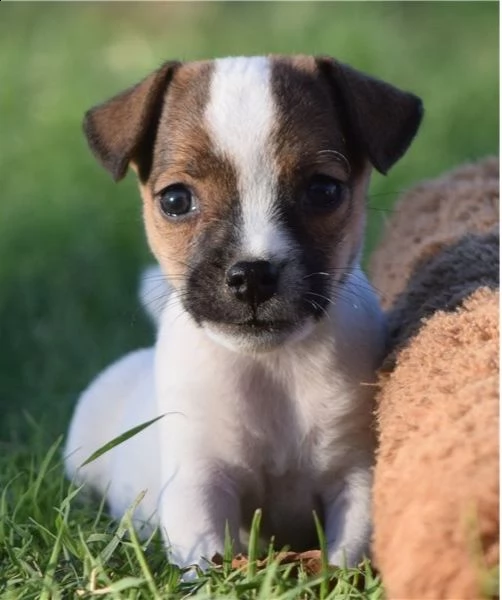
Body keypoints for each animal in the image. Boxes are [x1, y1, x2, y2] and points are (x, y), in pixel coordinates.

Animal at [64, 54, 422, 568]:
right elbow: (211, 557)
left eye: (324, 191)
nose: (252, 274)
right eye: (175, 200)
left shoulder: (355, 476)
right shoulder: (200, 483)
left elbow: (346, 552)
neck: (272, 367)